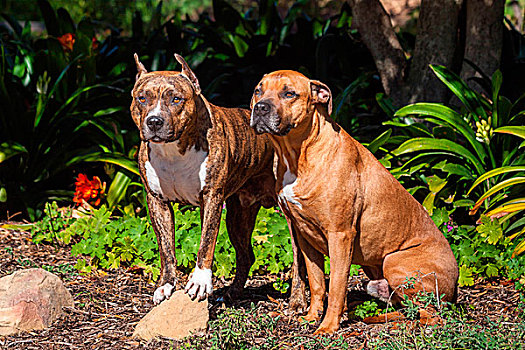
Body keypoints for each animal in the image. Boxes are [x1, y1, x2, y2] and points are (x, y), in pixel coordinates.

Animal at [129, 55, 308, 308]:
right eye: (142, 98)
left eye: (176, 99)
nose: (154, 121)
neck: (173, 151)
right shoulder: (157, 201)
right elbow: (166, 248)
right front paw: (166, 285)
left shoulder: (211, 198)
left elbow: (206, 241)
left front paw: (200, 281)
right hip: (238, 215)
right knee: (246, 255)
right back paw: (232, 293)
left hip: (291, 219)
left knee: (298, 259)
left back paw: (297, 302)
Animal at [248, 70, 456, 334]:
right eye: (258, 90)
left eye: (289, 93)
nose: (260, 107)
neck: (298, 155)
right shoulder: (304, 236)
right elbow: (317, 282)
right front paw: (311, 317)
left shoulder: (340, 234)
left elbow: (336, 286)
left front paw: (327, 327)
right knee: (405, 307)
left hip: (394, 261)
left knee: (429, 316)